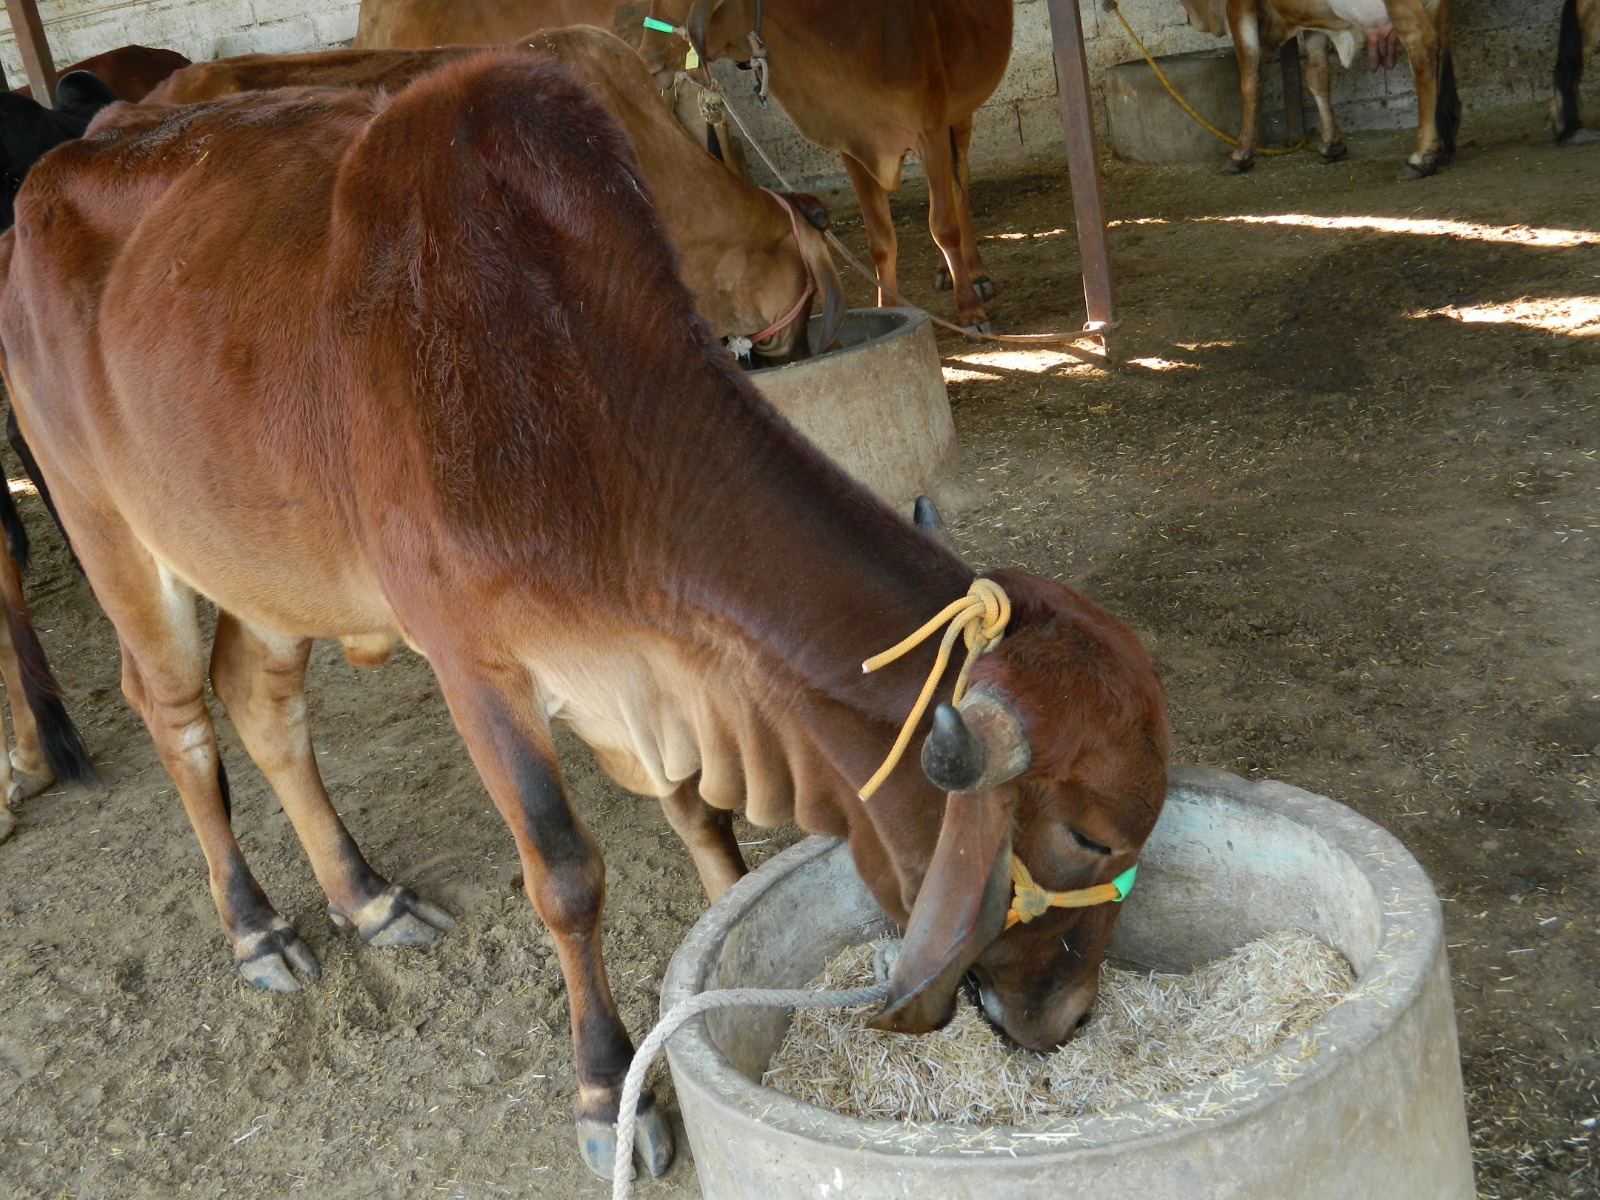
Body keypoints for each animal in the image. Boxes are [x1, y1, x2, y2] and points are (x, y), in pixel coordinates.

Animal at [639, 0, 1015, 333]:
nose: (647, 58)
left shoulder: (931, 131)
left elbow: (944, 225)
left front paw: (971, 313)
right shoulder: (852, 145)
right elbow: (880, 240)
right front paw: (887, 307)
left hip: (960, 115)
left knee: (958, 186)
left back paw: (975, 273)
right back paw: (944, 271)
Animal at [1175, 0, 1458, 178]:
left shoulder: (1238, 6)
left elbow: (1249, 78)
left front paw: (1241, 154)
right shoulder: (1314, 20)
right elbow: (1317, 76)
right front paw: (1332, 143)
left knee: (1421, 51)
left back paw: (1420, 157)